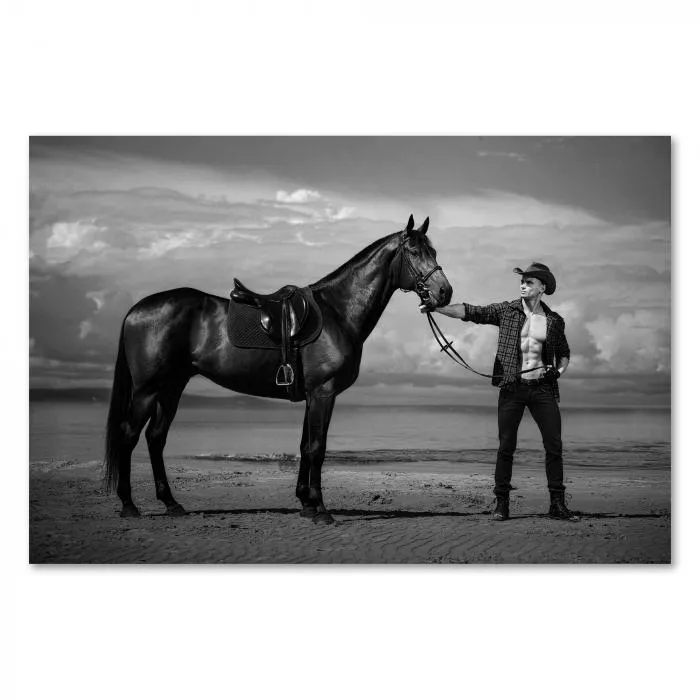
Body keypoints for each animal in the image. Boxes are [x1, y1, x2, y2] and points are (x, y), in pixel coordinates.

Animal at [104, 216, 454, 524]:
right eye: (414, 252)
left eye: (434, 252)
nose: (444, 292)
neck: (338, 312)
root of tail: (136, 310)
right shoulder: (324, 393)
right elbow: (317, 448)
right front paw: (321, 510)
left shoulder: (312, 395)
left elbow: (304, 447)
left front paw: (306, 503)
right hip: (147, 390)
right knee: (129, 435)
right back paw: (129, 505)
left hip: (171, 388)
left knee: (155, 438)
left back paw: (171, 504)